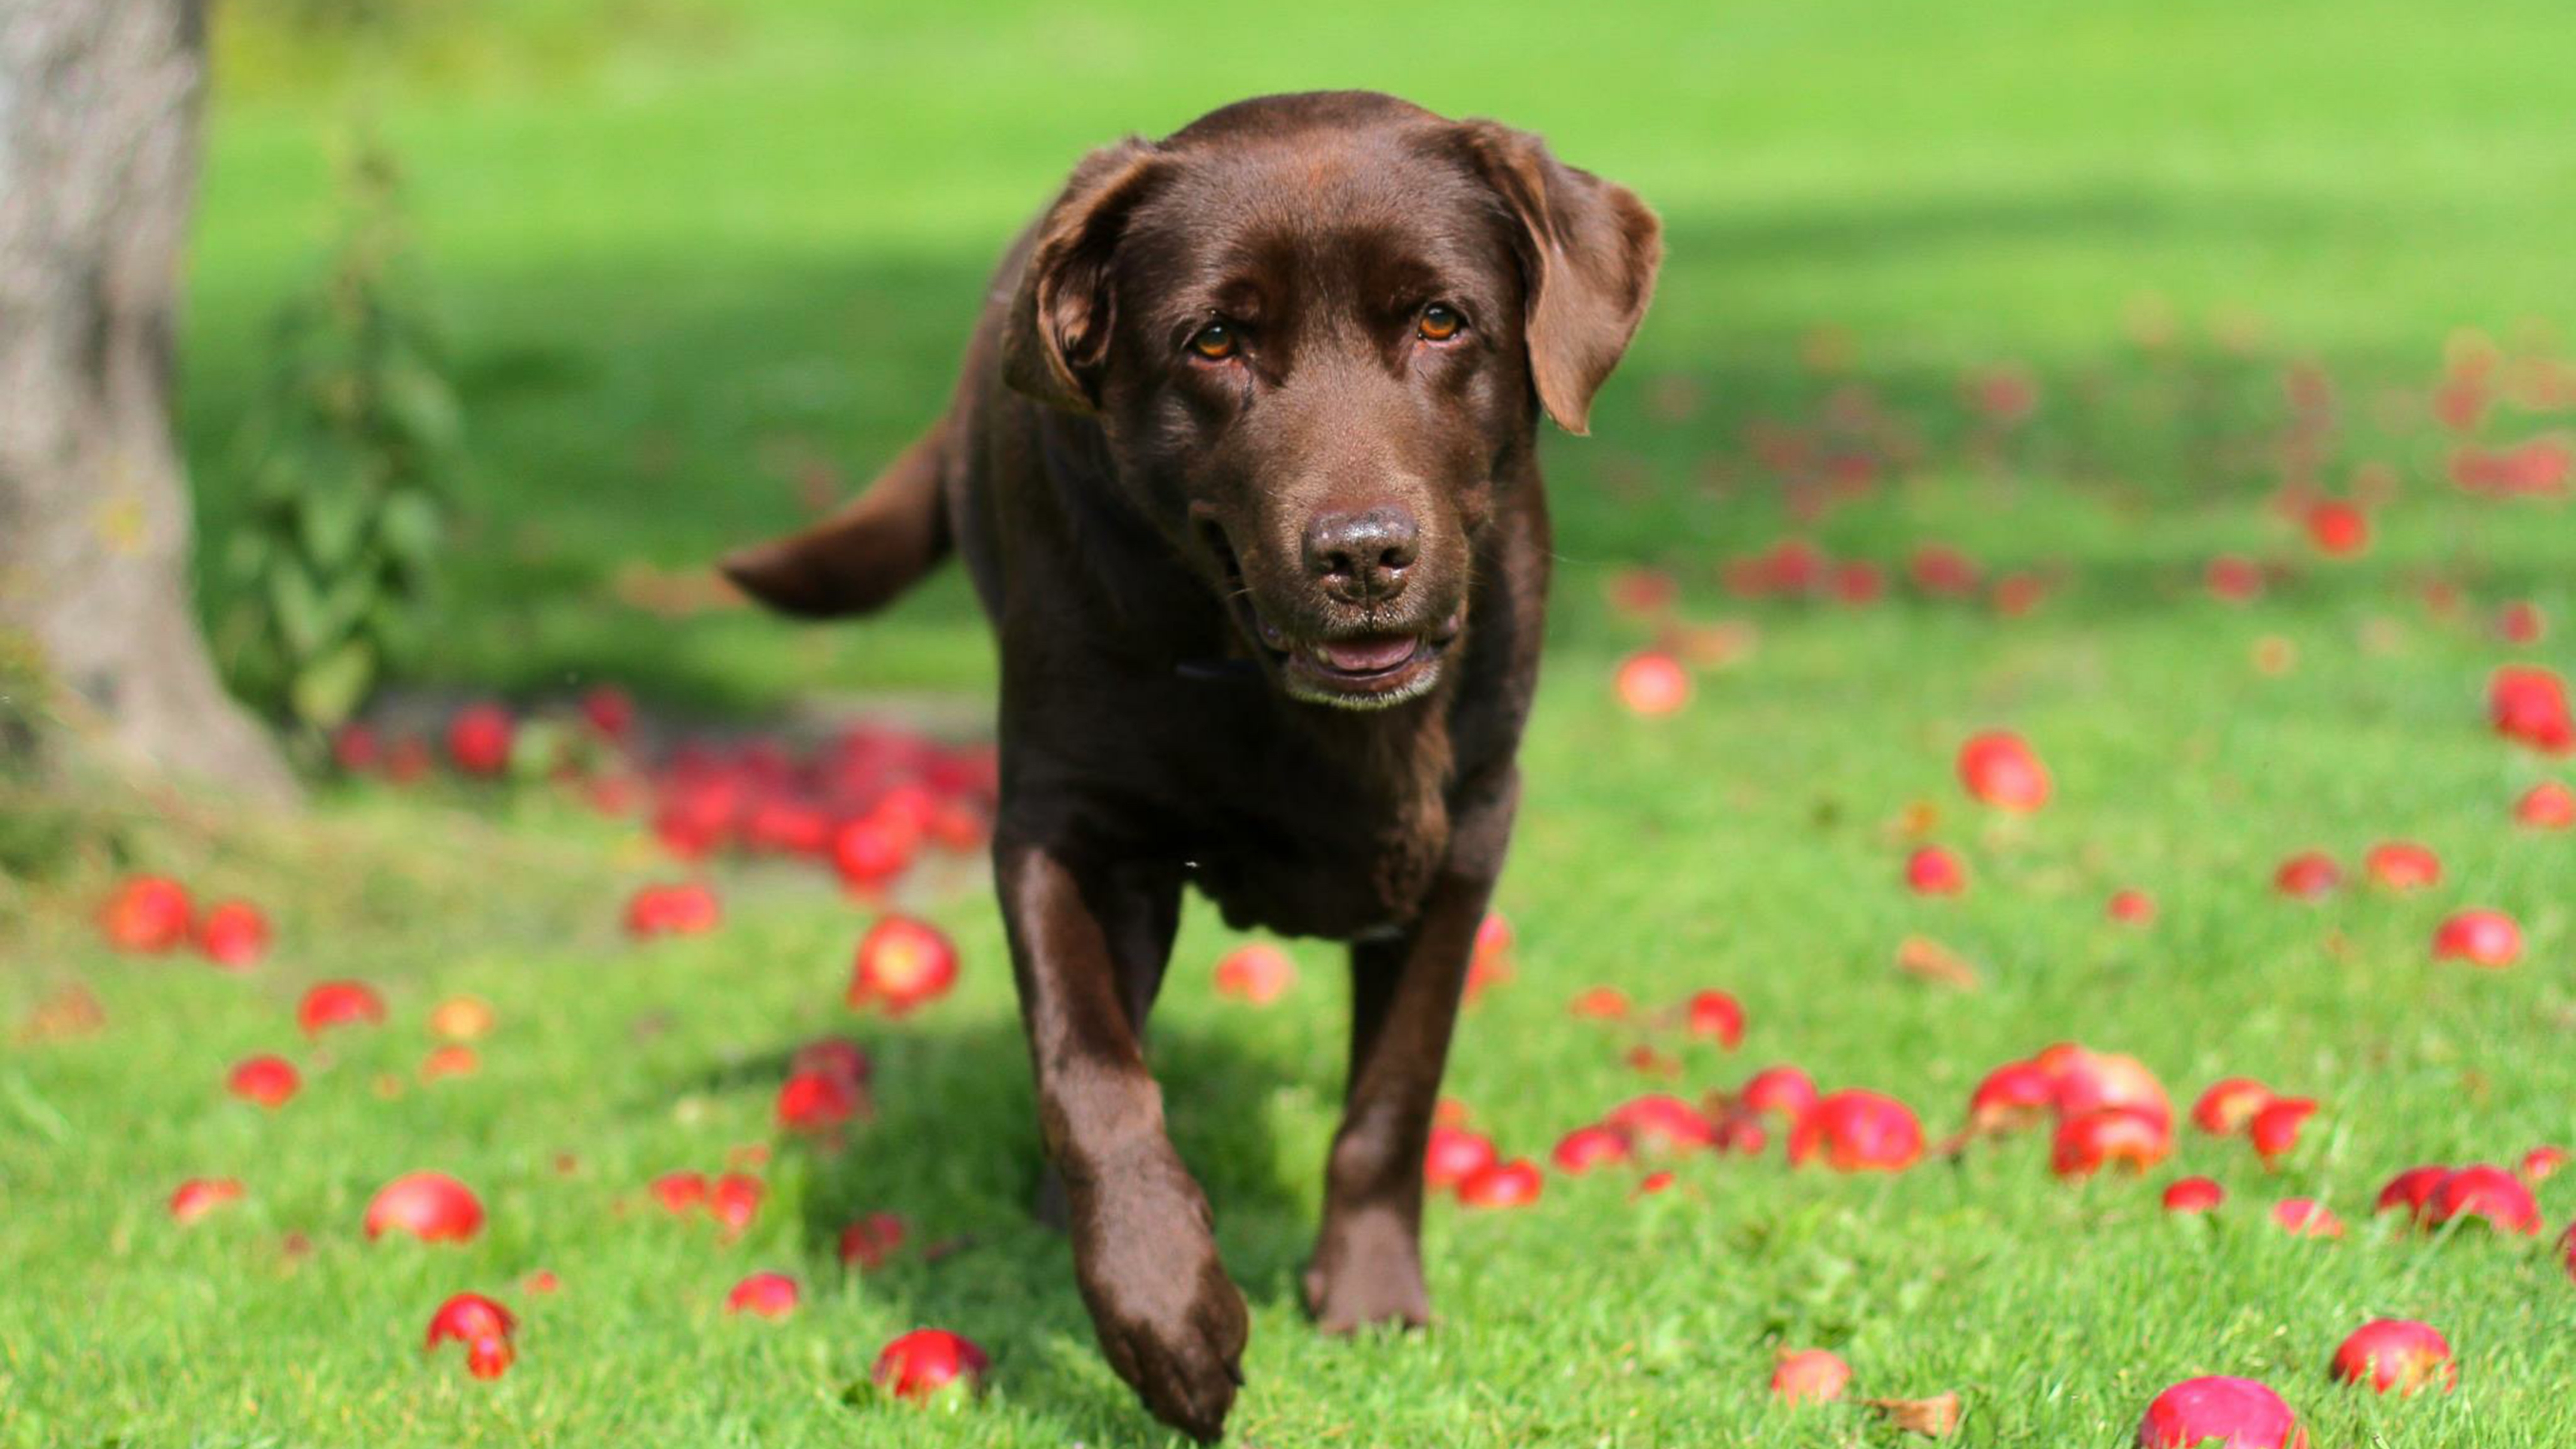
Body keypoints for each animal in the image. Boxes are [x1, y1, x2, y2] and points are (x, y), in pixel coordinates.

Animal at [716, 90, 1659, 1433]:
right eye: (1214, 342)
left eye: (1441, 319)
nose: (1361, 553)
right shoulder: (1063, 827)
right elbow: (1093, 1075)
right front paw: (1167, 1314)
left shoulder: (1470, 829)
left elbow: (1395, 1091)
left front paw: (1370, 1299)